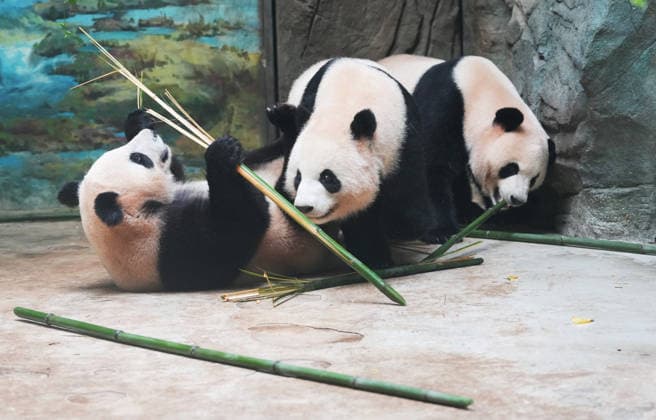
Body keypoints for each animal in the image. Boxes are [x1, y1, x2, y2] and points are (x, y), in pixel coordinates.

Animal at [58, 110, 340, 292]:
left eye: (131, 153)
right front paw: (220, 152)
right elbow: (238, 227)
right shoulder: (169, 247)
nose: (152, 134)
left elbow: (178, 171)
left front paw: (138, 121)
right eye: (139, 159)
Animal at [256, 57, 441, 267]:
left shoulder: (404, 139)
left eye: (328, 178)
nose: (305, 207)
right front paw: (373, 256)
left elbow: (408, 215)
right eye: (298, 178)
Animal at [378, 54, 556, 227]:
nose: (517, 199)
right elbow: (432, 165)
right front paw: (442, 228)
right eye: (511, 168)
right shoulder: (443, 104)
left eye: (533, 180)